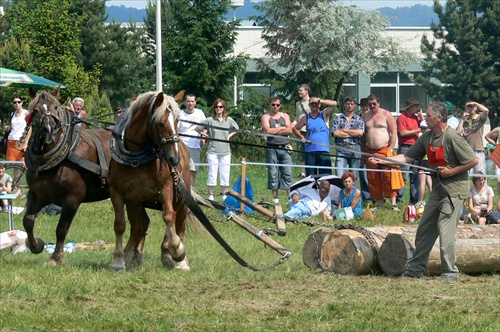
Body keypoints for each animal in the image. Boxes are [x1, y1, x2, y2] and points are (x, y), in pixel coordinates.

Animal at [23, 88, 111, 264]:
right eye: (36, 110)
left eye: (56, 107)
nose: (48, 130)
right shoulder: (37, 194)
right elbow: (28, 221)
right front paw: (36, 245)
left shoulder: (72, 199)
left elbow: (61, 229)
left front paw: (56, 258)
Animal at [109, 90, 191, 270]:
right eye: (160, 123)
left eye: (177, 121)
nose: (175, 159)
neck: (137, 159)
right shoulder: (117, 193)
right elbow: (119, 224)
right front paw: (118, 260)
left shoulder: (166, 189)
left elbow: (168, 217)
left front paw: (176, 250)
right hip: (135, 203)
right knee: (138, 227)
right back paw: (130, 255)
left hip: (181, 199)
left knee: (179, 223)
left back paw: (178, 260)